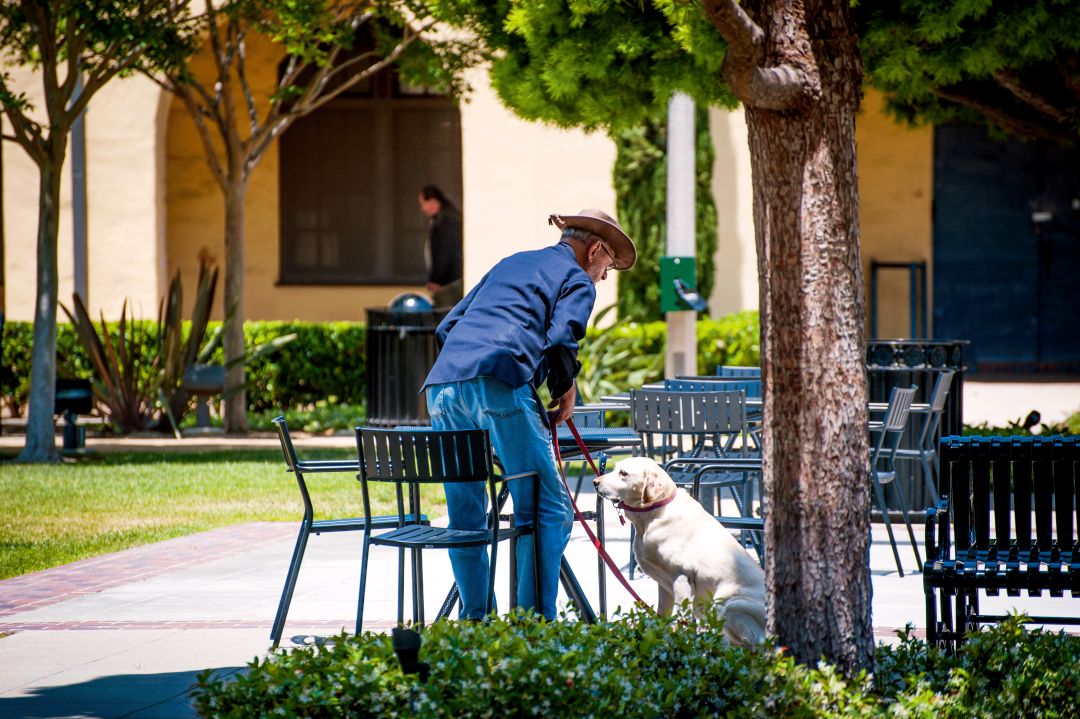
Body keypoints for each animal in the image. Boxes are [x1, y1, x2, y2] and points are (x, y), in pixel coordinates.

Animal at [591, 455, 768, 647]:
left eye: (623, 473)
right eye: (615, 468)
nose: (595, 482)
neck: (653, 515)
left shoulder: (682, 578)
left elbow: (683, 619)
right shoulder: (664, 586)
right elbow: (662, 616)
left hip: (728, 603)